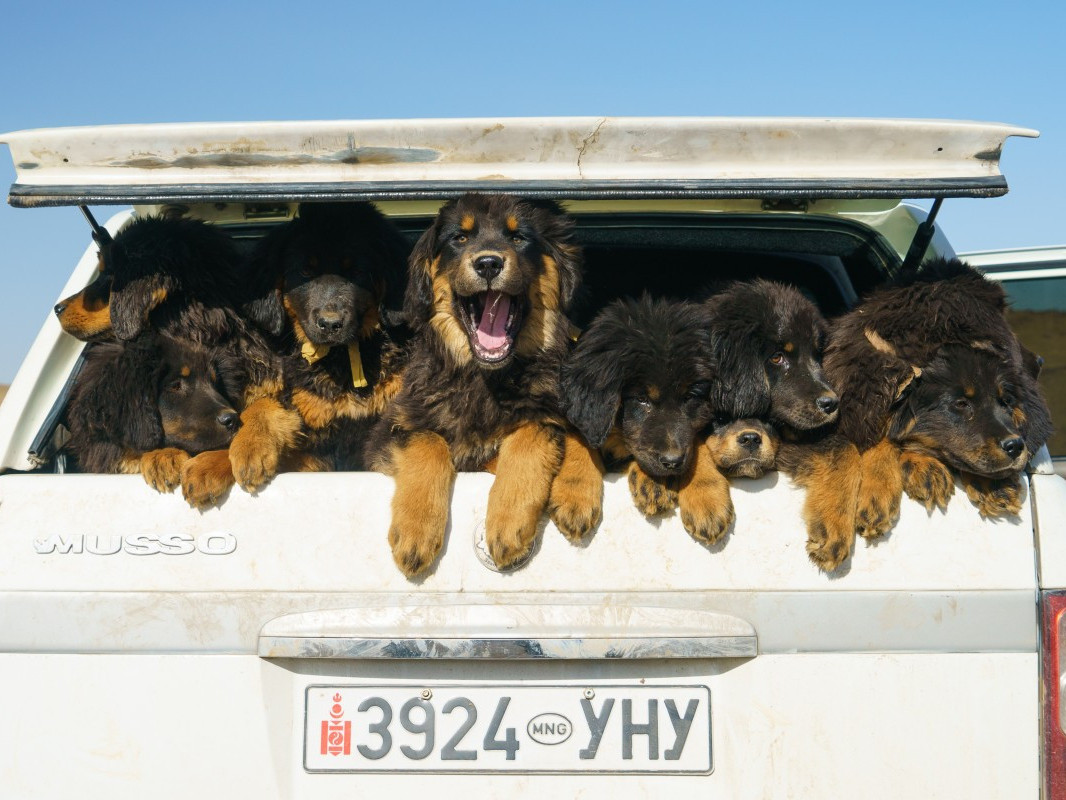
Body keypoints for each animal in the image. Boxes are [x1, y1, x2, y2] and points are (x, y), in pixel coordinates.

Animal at [558, 298, 733, 550]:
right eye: (641, 399)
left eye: (690, 396)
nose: (672, 461)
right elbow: (579, 435)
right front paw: (574, 494)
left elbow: (697, 442)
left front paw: (706, 497)